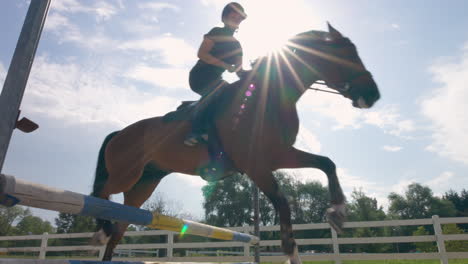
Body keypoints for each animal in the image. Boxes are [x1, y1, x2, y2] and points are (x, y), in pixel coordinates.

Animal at [88, 22, 380, 262]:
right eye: (346, 55)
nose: (373, 95)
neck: (268, 96)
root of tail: (119, 132)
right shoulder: (256, 166)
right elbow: (283, 202)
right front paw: (290, 249)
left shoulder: (279, 156)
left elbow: (326, 163)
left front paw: (338, 213)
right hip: (126, 174)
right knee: (101, 194)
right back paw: (101, 231)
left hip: (144, 183)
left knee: (118, 223)